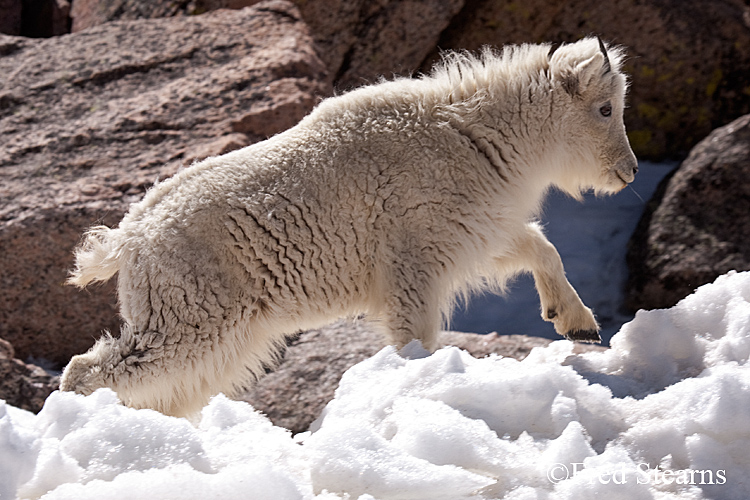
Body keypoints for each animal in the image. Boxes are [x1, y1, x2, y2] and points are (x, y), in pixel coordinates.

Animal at [63, 37, 640, 416]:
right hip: (189, 314)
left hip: (214, 328)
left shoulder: (471, 231)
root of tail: (127, 242)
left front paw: (578, 324)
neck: (475, 135)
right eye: (605, 108)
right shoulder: (414, 257)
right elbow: (416, 333)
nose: (629, 170)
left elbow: (541, 248)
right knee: (92, 369)